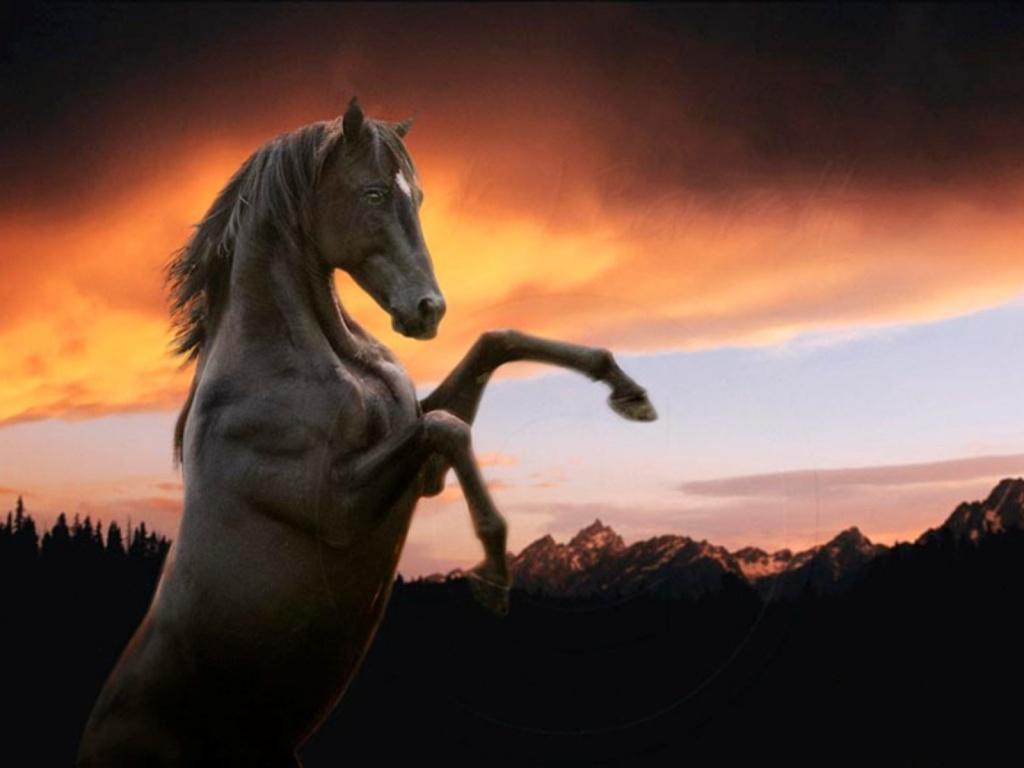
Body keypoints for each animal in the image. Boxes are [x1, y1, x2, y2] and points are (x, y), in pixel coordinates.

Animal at [76, 97, 658, 767]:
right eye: (375, 192)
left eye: (419, 196)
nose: (428, 310)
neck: (305, 359)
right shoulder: (340, 508)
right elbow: (446, 426)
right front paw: (492, 574)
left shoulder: (419, 474)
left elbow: (494, 345)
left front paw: (629, 393)